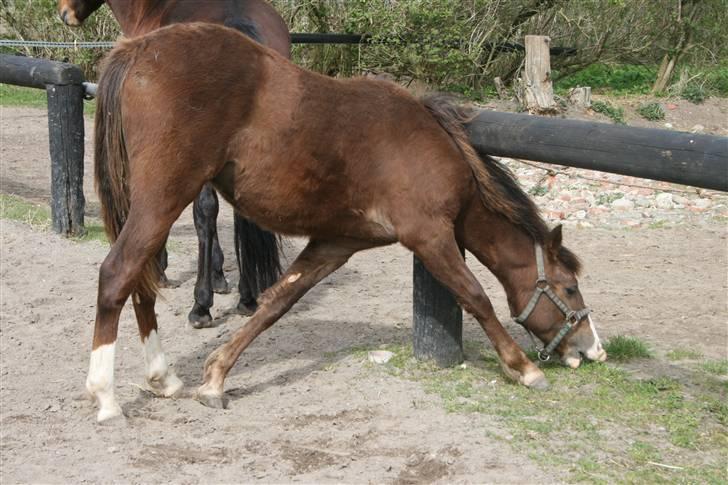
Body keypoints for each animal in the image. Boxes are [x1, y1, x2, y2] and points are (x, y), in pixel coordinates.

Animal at [57, 0, 290, 328]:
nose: (65, 13)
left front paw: (163, 268)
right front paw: (220, 277)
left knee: (204, 213)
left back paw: (201, 306)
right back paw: (247, 297)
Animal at [85, 22, 608, 420]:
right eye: (569, 289)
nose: (591, 349)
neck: (433, 146)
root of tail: (138, 49)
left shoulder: (334, 245)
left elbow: (276, 304)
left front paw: (215, 378)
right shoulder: (430, 237)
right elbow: (476, 297)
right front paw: (524, 368)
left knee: (141, 282)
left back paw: (164, 378)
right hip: (164, 197)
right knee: (117, 273)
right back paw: (106, 397)